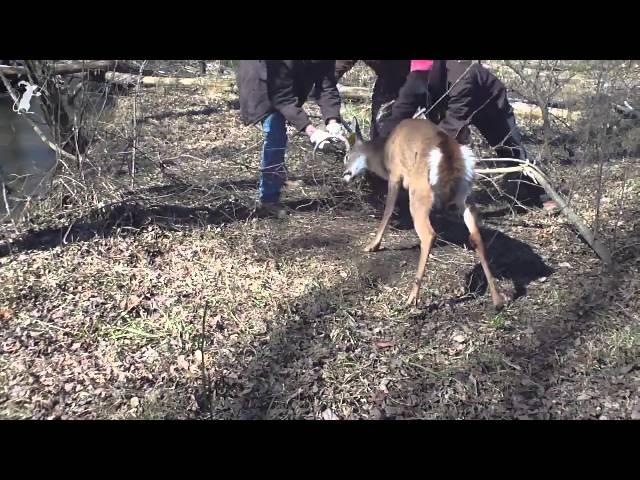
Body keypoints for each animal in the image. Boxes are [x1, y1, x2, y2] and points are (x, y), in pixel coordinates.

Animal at [342, 118, 508, 310]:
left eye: (347, 155)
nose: (344, 175)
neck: (383, 153)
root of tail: (447, 150)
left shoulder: (395, 174)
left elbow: (388, 210)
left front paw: (372, 245)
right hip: (465, 195)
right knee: (476, 236)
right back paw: (497, 300)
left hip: (420, 192)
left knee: (428, 235)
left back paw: (411, 298)